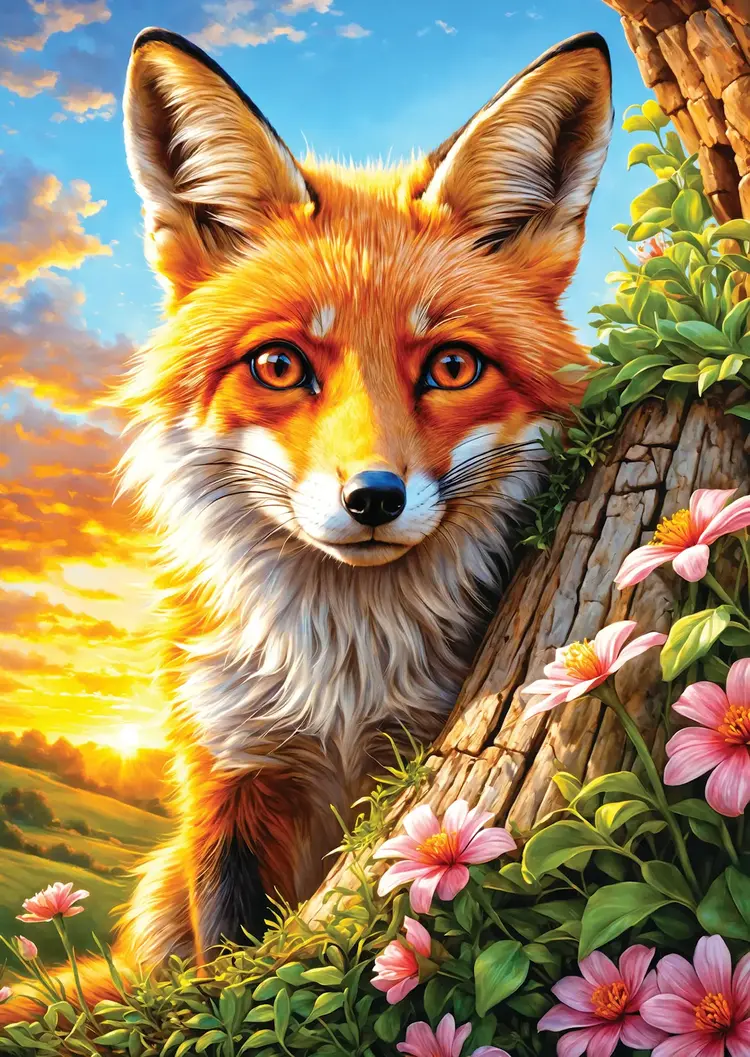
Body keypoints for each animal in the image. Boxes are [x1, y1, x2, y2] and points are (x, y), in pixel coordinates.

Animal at [2, 26, 613, 1022]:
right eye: (280, 365)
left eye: (451, 365)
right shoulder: (230, 778)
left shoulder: (407, 759)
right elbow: (227, 970)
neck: (344, 681)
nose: (372, 498)